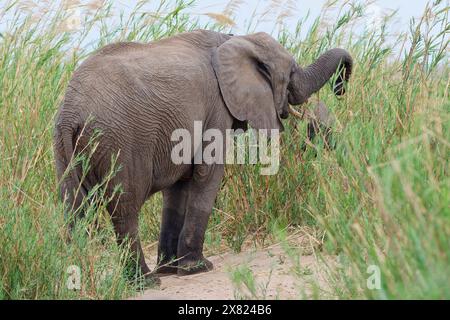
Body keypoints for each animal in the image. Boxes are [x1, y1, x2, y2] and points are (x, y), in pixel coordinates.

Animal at [53, 30, 352, 284]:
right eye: (291, 73)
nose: (340, 87)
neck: (234, 39)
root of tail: (71, 113)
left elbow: (178, 188)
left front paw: (172, 269)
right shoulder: (217, 107)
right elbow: (208, 174)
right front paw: (197, 268)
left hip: (63, 146)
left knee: (74, 208)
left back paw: (78, 276)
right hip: (120, 142)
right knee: (124, 208)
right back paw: (145, 281)